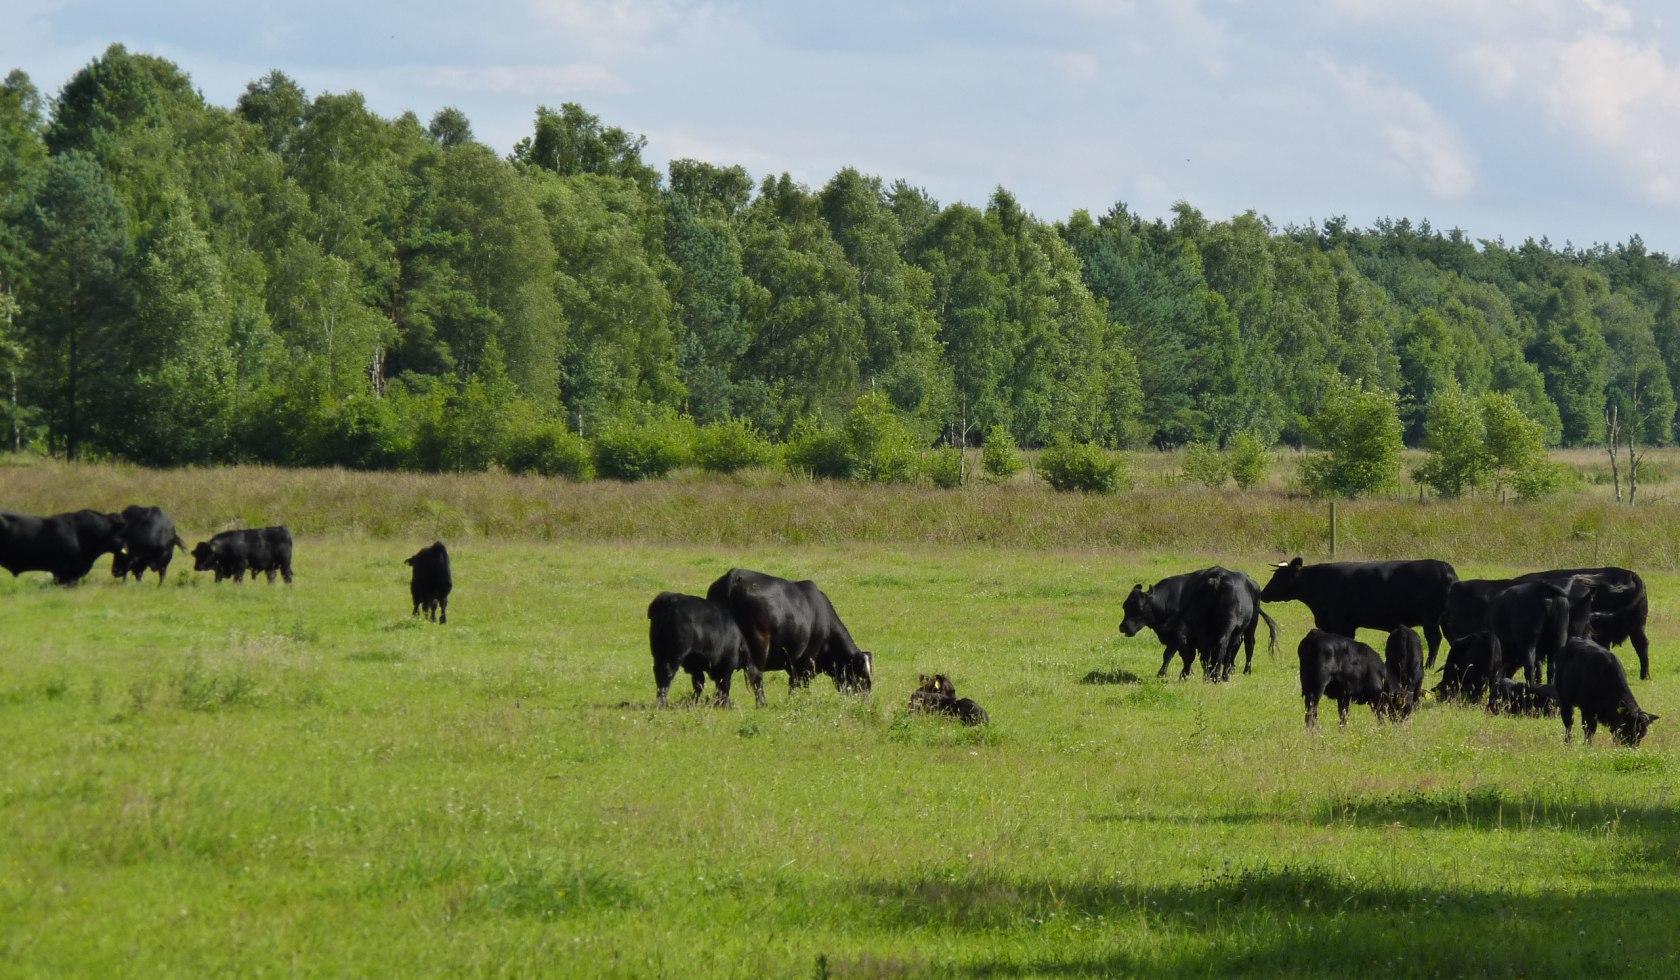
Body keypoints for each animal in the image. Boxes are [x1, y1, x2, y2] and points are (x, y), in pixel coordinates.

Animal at [702, 568, 873, 706]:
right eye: (862, 676)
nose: (866, 702)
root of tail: (735, 575)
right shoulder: (804, 661)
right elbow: (796, 685)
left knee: (723, 678)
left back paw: (723, 703)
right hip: (758, 647)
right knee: (756, 677)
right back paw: (762, 704)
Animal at [1122, 568, 1276, 682]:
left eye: (1139, 608)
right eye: (1125, 606)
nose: (1123, 627)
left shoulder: (1180, 634)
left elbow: (1170, 654)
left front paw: (1163, 673)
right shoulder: (1192, 636)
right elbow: (1190, 656)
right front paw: (1188, 673)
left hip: (1249, 625)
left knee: (1246, 645)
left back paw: (1241, 671)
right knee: (1222, 649)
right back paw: (1216, 675)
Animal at [1263, 561, 1458, 665]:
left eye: (1279, 577)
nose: (1264, 593)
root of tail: (1445, 567)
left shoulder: (1341, 623)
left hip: (1430, 620)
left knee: (1434, 640)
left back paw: (1430, 665)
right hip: (1446, 621)